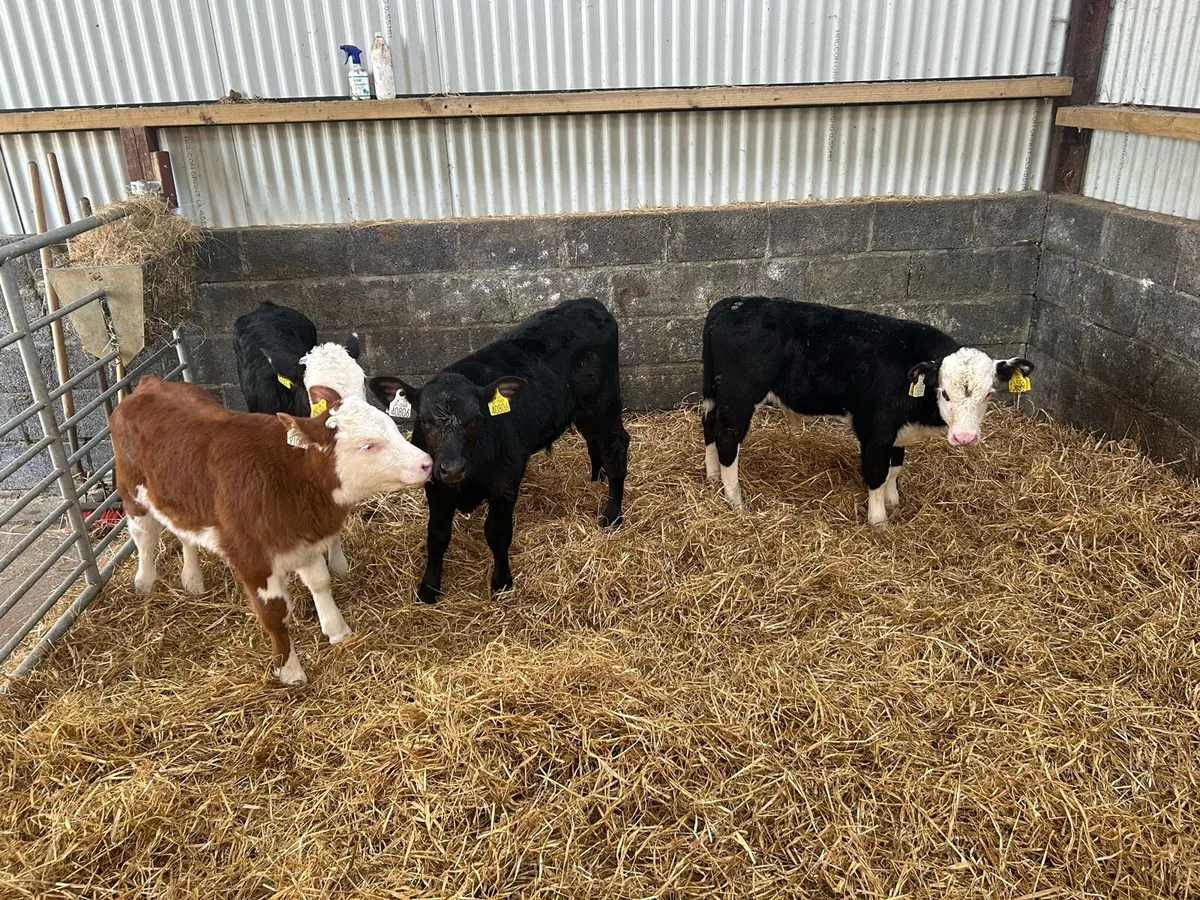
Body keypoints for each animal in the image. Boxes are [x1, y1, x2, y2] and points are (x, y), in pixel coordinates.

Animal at [111, 376, 433, 684]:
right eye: (368, 445)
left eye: (393, 427)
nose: (426, 463)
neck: (290, 475)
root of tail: (149, 383)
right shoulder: (251, 559)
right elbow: (274, 614)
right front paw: (289, 671)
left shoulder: (304, 540)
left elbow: (320, 583)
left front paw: (337, 630)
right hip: (132, 492)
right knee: (144, 537)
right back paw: (144, 583)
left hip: (180, 496)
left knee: (184, 534)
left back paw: (192, 579)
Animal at [368, 297, 629, 604]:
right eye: (424, 420)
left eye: (476, 419)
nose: (452, 468)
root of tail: (589, 303)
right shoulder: (435, 484)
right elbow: (437, 534)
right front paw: (428, 588)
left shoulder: (505, 480)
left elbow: (497, 532)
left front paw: (501, 582)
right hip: (582, 411)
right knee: (594, 441)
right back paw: (596, 477)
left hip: (602, 404)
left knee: (616, 446)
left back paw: (612, 514)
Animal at [701, 296, 1034, 527]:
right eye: (944, 392)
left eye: (989, 394)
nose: (965, 437)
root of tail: (730, 304)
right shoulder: (876, 430)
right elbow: (876, 474)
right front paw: (879, 521)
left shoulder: (897, 432)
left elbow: (895, 467)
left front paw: (894, 501)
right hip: (739, 396)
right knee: (727, 437)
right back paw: (735, 498)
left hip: (716, 394)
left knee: (709, 426)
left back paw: (713, 476)